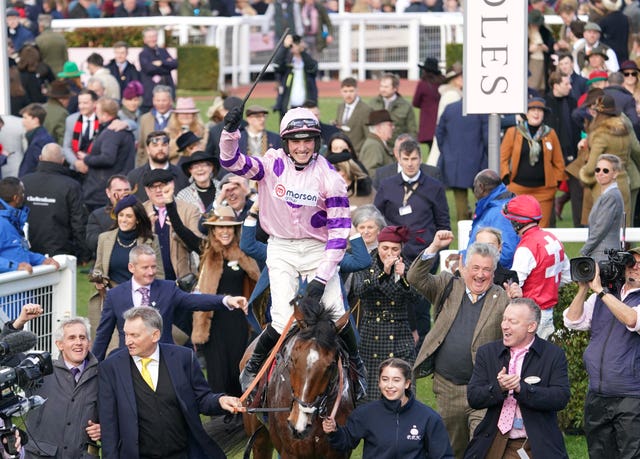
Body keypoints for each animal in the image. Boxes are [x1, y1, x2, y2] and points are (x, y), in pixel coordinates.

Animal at [242, 300, 356, 458]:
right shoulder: (290, 452)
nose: (298, 424)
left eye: (331, 365)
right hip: (259, 439)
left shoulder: (339, 452)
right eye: (292, 359)